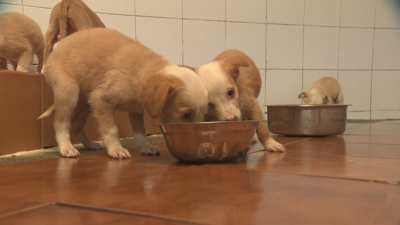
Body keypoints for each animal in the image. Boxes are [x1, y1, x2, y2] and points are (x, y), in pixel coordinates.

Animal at [38, 27, 208, 158]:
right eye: (187, 115)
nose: (198, 142)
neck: (144, 71)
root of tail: (56, 48)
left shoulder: (136, 109)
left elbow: (140, 131)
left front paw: (146, 147)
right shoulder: (101, 100)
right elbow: (111, 129)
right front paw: (116, 149)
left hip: (86, 101)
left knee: (77, 123)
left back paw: (90, 144)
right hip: (69, 91)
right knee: (61, 122)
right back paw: (66, 148)